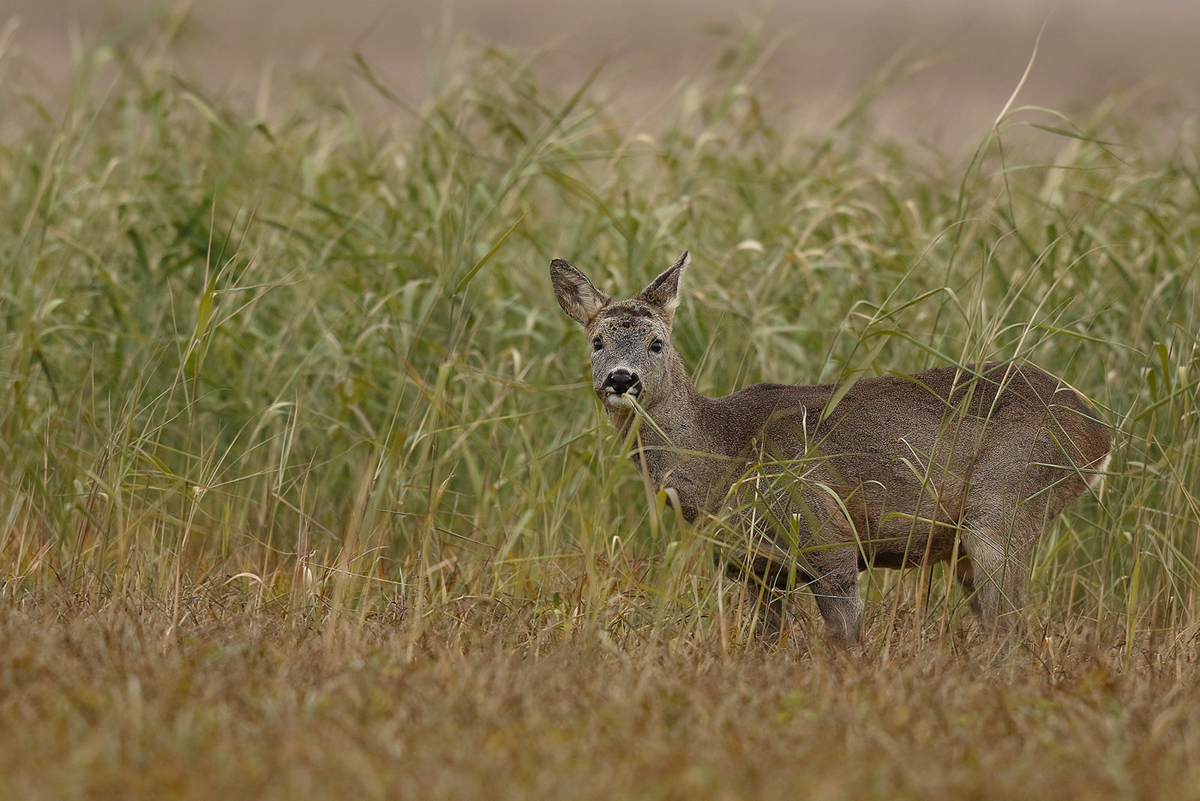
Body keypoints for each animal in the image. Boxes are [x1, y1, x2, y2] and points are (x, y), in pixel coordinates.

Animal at [549, 250, 1108, 642]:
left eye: (656, 343)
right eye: (597, 342)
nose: (622, 380)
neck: (724, 454)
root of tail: (1100, 430)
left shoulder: (828, 539)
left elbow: (847, 644)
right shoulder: (755, 567)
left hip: (1004, 505)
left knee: (1008, 629)